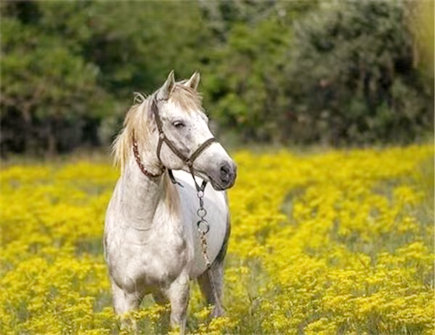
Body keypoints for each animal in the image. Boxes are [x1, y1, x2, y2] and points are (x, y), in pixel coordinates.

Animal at [103, 71, 237, 334]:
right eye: (178, 124)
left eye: (205, 120)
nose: (227, 170)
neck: (141, 224)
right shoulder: (124, 298)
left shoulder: (178, 290)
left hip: (213, 269)